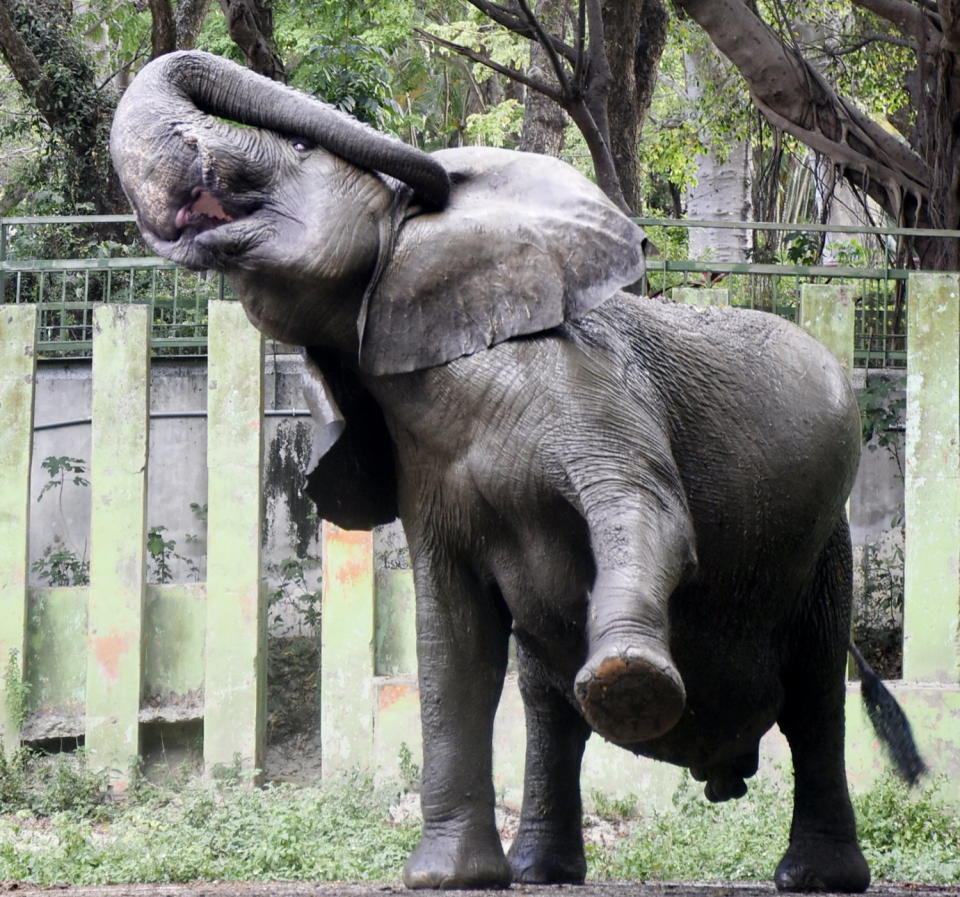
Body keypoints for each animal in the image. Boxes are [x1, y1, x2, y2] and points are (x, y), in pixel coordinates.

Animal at [110, 52, 924, 892]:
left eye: (301, 154)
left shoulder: (583, 374)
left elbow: (647, 507)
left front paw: (627, 682)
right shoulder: (424, 471)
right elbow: (451, 636)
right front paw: (445, 878)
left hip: (827, 552)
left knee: (814, 700)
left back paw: (814, 876)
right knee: (547, 706)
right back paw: (542, 870)